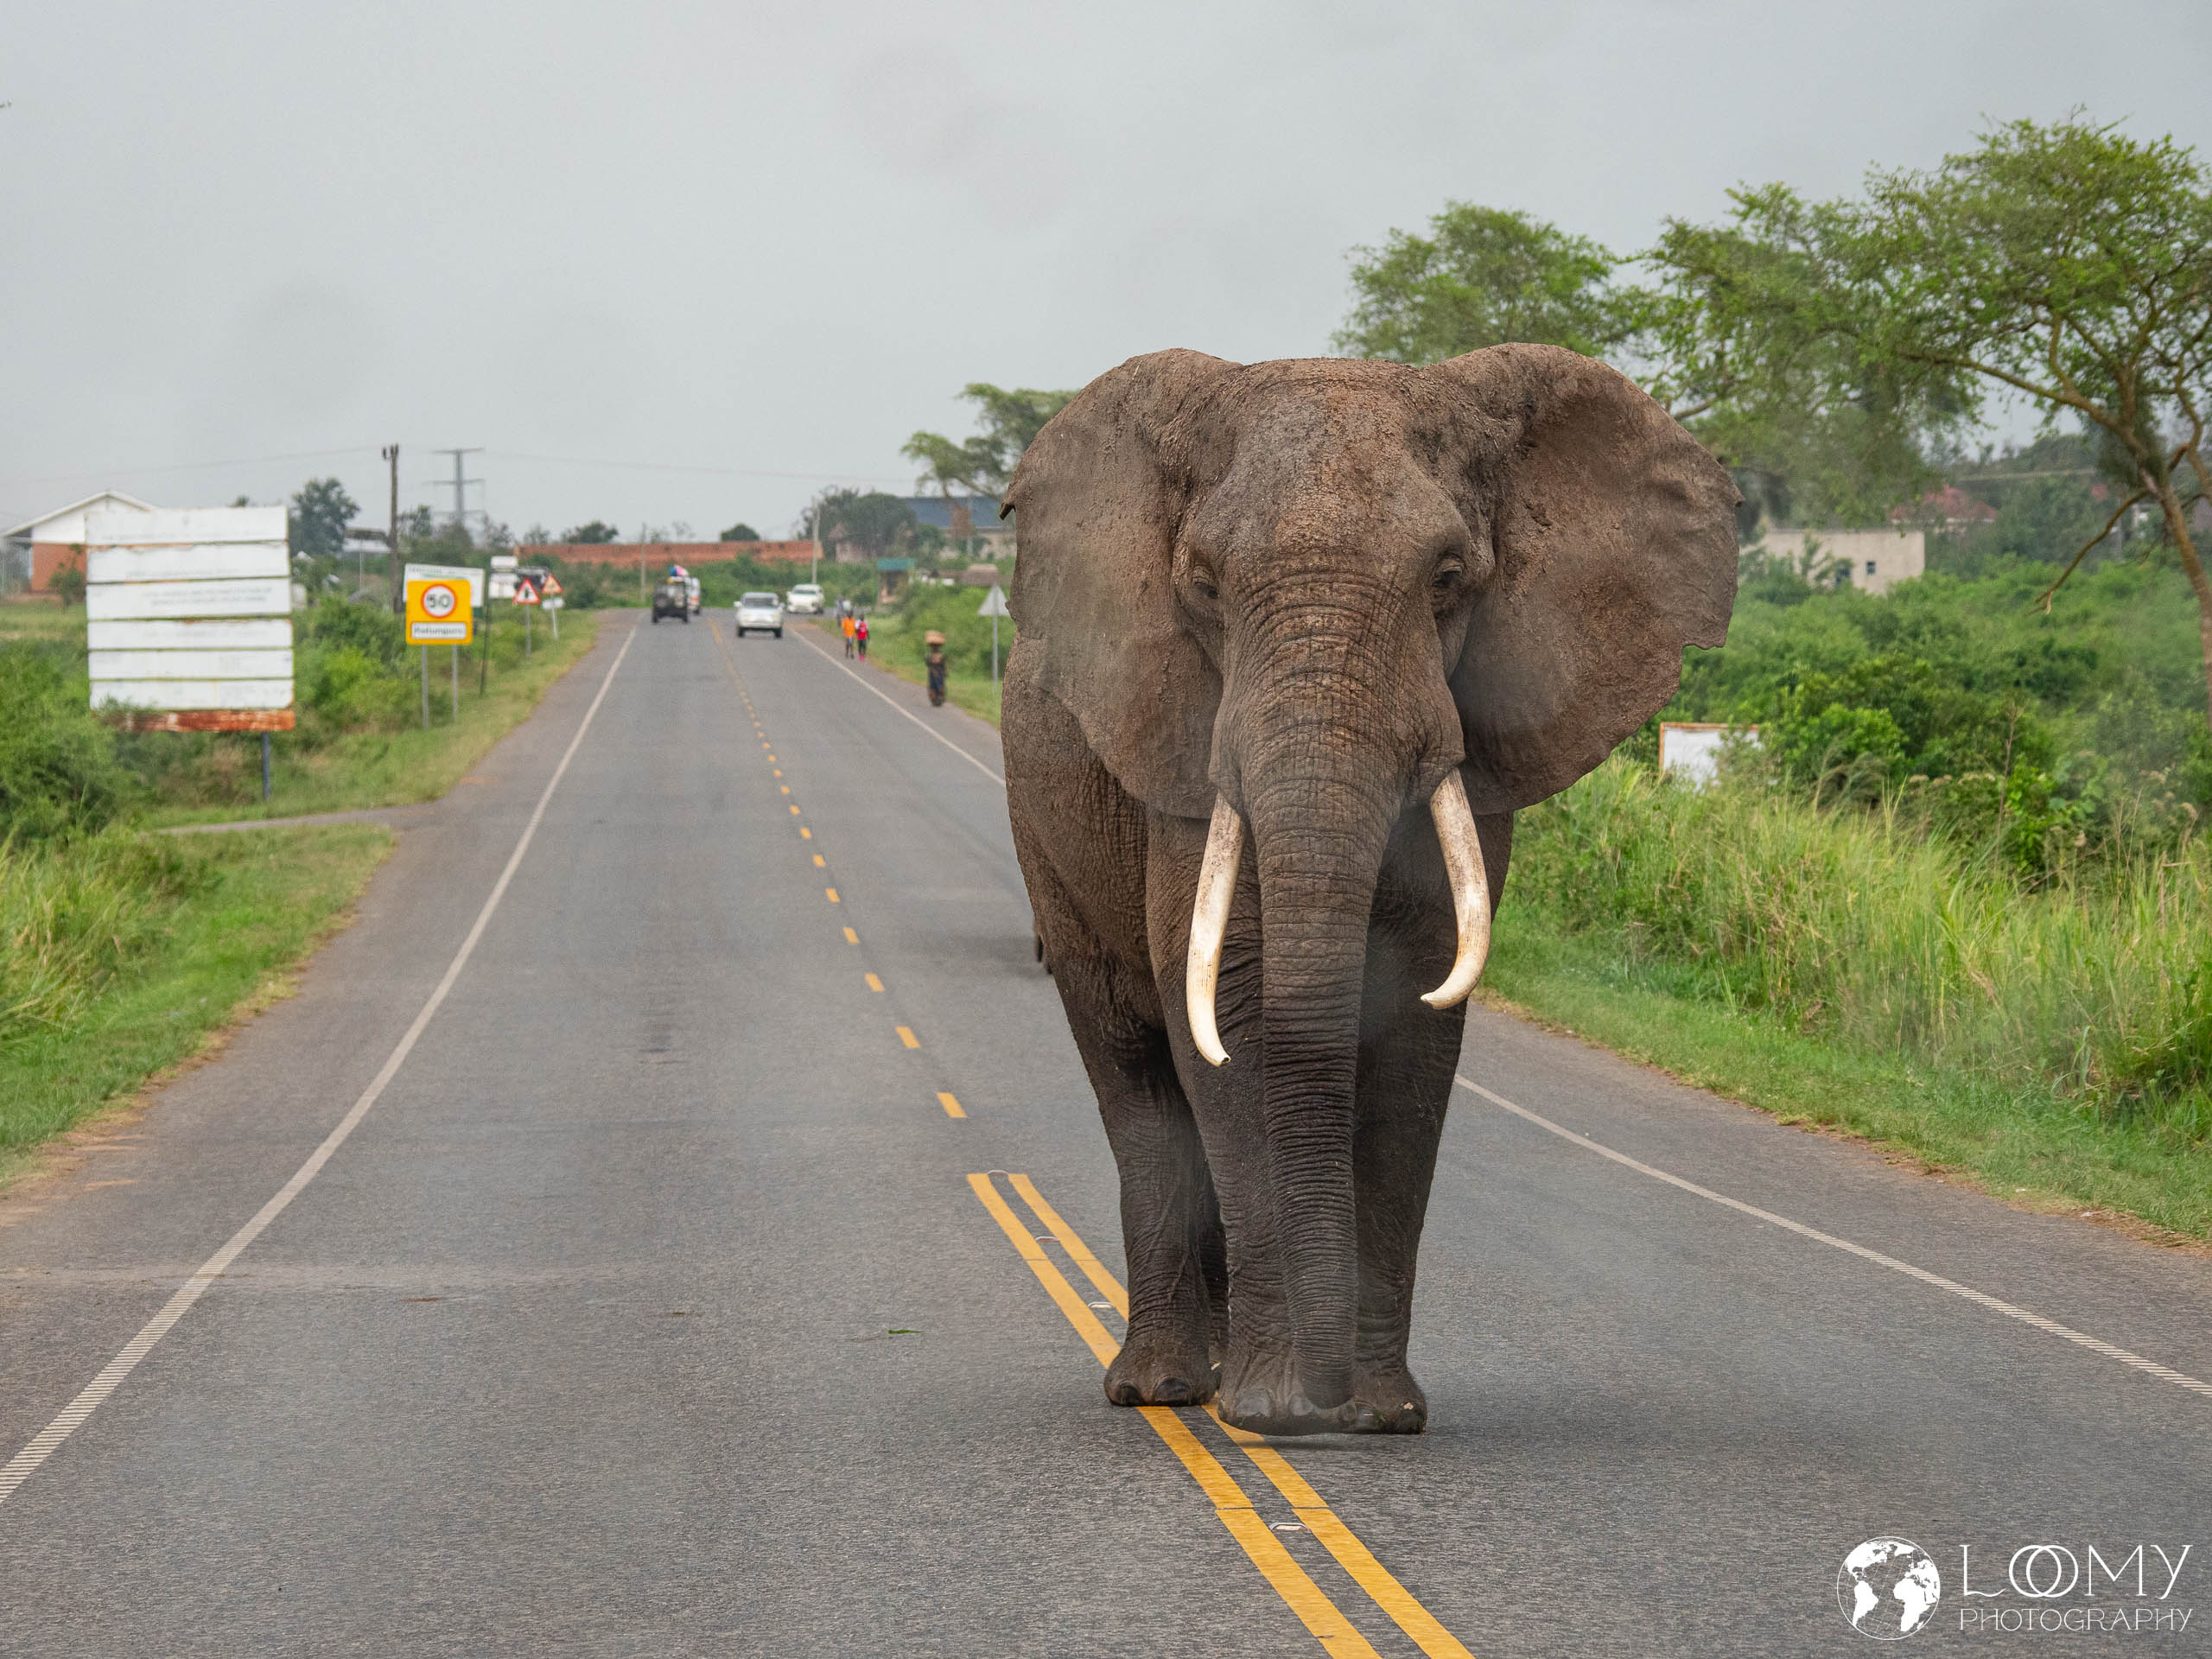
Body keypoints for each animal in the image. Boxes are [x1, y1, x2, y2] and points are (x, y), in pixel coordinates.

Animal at [999, 344, 1738, 1436]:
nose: (1327, 1398)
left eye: (1447, 580)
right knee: (1129, 1059)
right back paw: (1168, 1388)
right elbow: (1232, 1004)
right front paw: (1275, 1411)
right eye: (1203, 585)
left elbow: (1417, 1015)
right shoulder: (1178, 736)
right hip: (1047, 837)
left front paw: (1380, 1416)